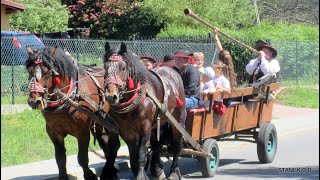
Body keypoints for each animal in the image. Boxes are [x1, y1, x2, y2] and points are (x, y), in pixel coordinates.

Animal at [24, 46, 111, 180]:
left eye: (47, 72)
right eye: (30, 71)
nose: (34, 101)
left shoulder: (82, 131)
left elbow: (82, 158)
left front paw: (89, 175)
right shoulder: (53, 132)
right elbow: (60, 159)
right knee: (104, 140)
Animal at [102, 41, 185, 179]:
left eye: (123, 67)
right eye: (105, 67)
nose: (110, 96)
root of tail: (173, 71)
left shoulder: (145, 127)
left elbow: (141, 154)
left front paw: (140, 175)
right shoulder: (123, 130)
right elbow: (127, 153)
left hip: (178, 118)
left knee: (176, 145)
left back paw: (174, 171)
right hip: (157, 123)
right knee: (157, 144)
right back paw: (157, 169)